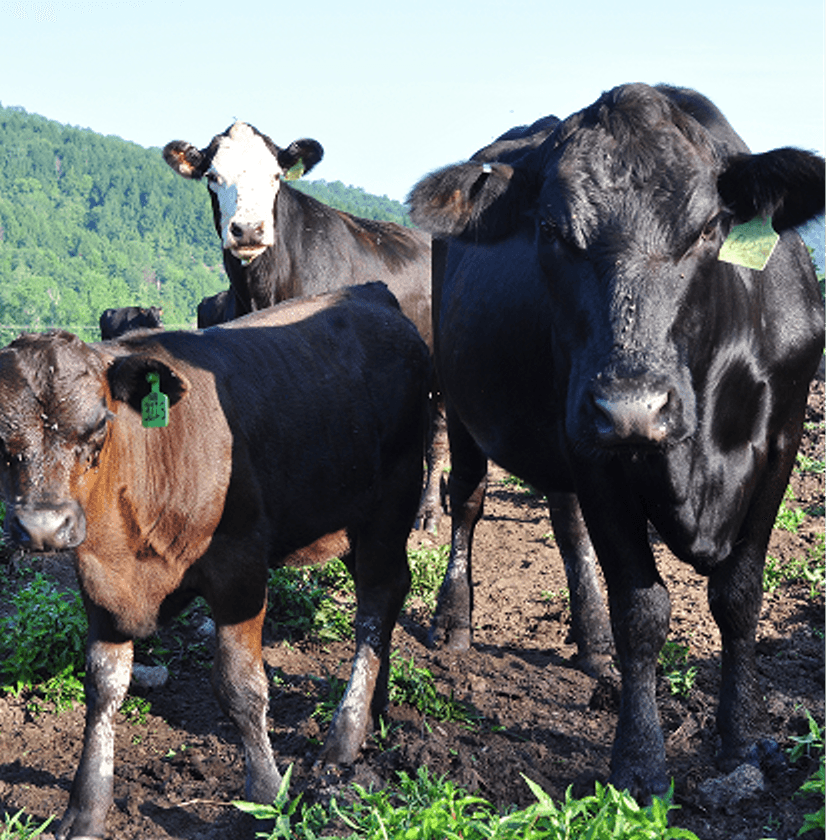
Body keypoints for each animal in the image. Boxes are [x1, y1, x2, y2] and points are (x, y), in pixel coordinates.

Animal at [0, 283, 430, 839]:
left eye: (98, 425)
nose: (42, 526)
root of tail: (369, 293)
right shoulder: (98, 583)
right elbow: (103, 686)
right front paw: (86, 808)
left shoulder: (239, 568)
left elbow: (240, 687)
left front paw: (267, 797)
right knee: (389, 595)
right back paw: (375, 708)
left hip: (393, 501)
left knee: (376, 604)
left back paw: (345, 735)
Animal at [163, 121, 447, 531]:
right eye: (213, 177)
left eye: (276, 176)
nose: (248, 230)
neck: (264, 290)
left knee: (436, 437)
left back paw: (428, 512)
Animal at [407, 83, 825, 800]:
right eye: (550, 231)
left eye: (708, 229)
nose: (632, 408)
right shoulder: (597, 452)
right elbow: (643, 609)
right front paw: (640, 761)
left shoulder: (781, 442)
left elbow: (739, 596)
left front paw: (741, 741)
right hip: (464, 404)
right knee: (467, 498)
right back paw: (454, 619)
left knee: (564, 518)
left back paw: (592, 638)